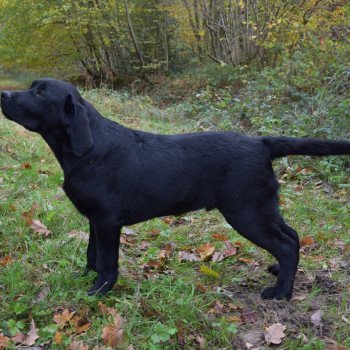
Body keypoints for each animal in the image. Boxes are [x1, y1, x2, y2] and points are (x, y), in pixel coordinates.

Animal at [2, 78, 350, 300]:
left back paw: (281, 293)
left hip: (246, 211)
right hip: (262, 207)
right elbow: (91, 255)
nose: (3, 94)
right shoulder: (94, 221)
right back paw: (279, 273)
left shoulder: (107, 221)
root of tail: (261, 143)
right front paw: (84, 279)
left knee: (287, 243)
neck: (86, 151)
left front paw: (98, 292)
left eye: (40, 92)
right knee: (292, 236)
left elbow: (107, 262)